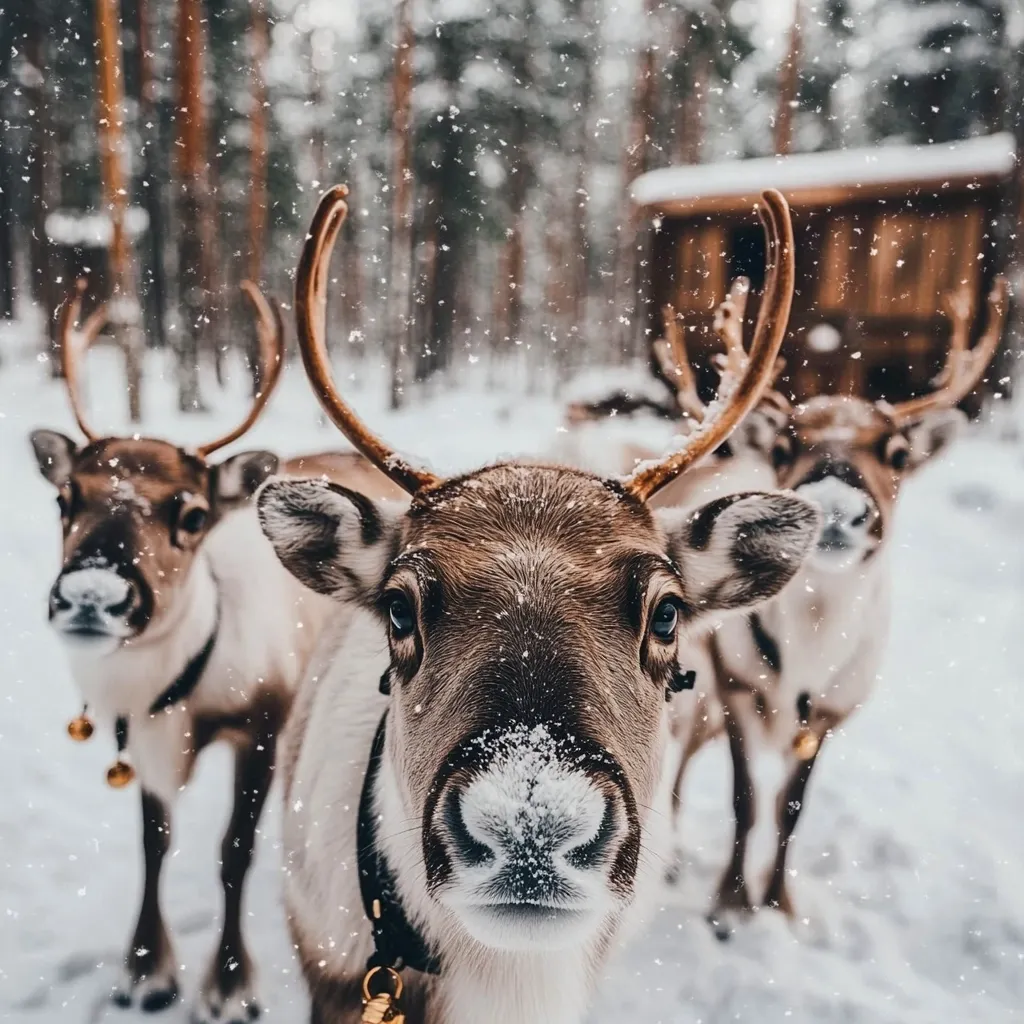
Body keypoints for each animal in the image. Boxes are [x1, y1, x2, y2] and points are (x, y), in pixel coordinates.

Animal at [29, 280, 404, 1023]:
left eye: (193, 513)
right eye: (65, 498)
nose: (90, 597)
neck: (181, 680)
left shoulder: (259, 725)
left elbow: (234, 852)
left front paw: (228, 984)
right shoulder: (143, 738)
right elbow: (155, 843)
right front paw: (147, 969)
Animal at [661, 276, 1009, 936]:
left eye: (897, 453)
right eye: (784, 445)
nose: (835, 506)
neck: (807, 653)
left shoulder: (829, 713)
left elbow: (791, 808)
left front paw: (779, 904)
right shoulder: (737, 686)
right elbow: (746, 799)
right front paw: (729, 902)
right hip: (697, 689)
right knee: (681, 752)